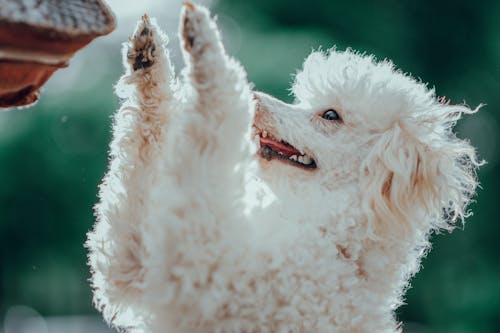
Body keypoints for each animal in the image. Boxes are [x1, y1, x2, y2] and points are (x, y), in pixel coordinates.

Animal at [87, 3, 480, 332]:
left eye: (330, 115)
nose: (255, 97)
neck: (333, 241)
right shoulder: (137, 259)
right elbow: (143, 151)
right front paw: (148, 59)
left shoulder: (203, 258)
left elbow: (214, 121)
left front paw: (207, 42)